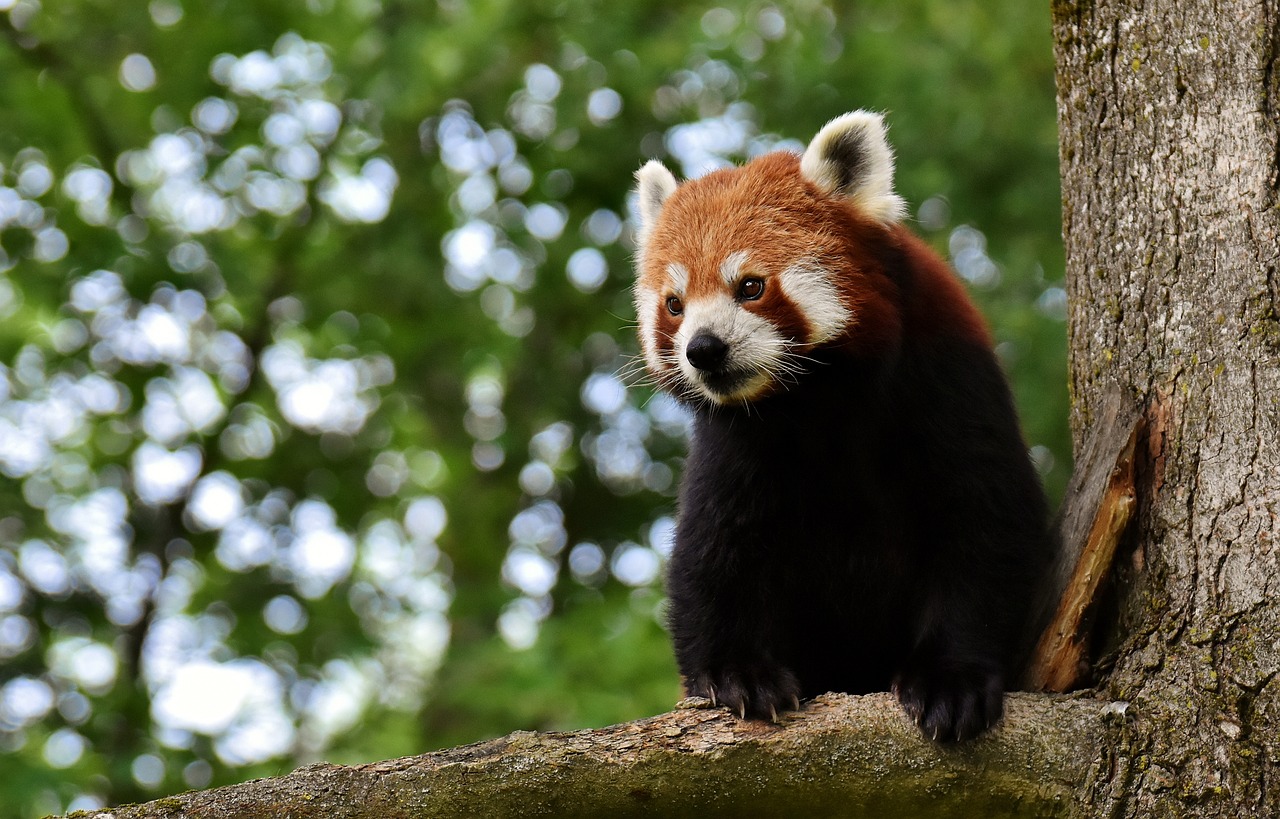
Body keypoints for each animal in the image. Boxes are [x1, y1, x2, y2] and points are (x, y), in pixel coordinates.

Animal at [632, 111, 1049, 747]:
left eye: (750, 286)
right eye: (675, 304)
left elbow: (985, 523)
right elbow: (711, 551)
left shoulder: (948, 380)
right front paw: (737, 673)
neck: (816, 402)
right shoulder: (736, 442)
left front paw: (951, 679)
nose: (702, 350)